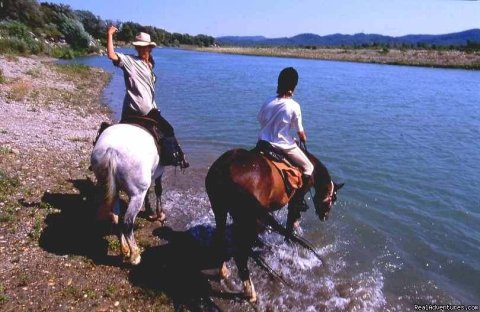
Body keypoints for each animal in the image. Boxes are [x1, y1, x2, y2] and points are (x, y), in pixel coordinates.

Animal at [90, 123, 165, 264]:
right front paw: (159, 214)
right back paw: (135, 255)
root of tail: (112, 151)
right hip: (137, 195)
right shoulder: (158, 175)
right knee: (127, 223)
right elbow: (158, 189)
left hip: (112, 190)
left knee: (116, 219)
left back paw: (124, 249)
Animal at [204, 146, 344, 302]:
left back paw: (223, 271)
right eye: (333, 198)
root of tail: (225, 169)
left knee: (220, 239)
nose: (325, 216)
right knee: (240, 256)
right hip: (249, 219)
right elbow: (290, 223)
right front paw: (288, 243)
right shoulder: (295, 199)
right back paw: (250, 292)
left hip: (220, 209)